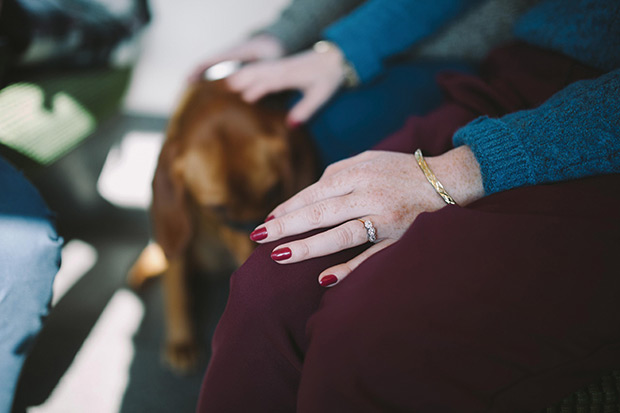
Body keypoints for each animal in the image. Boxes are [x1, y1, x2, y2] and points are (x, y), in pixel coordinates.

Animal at [128, 79, 318, 372]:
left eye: (273, 191)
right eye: (217, 208)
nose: (255, 261)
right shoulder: (179, 241)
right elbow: (177, 291)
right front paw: (181, 341)